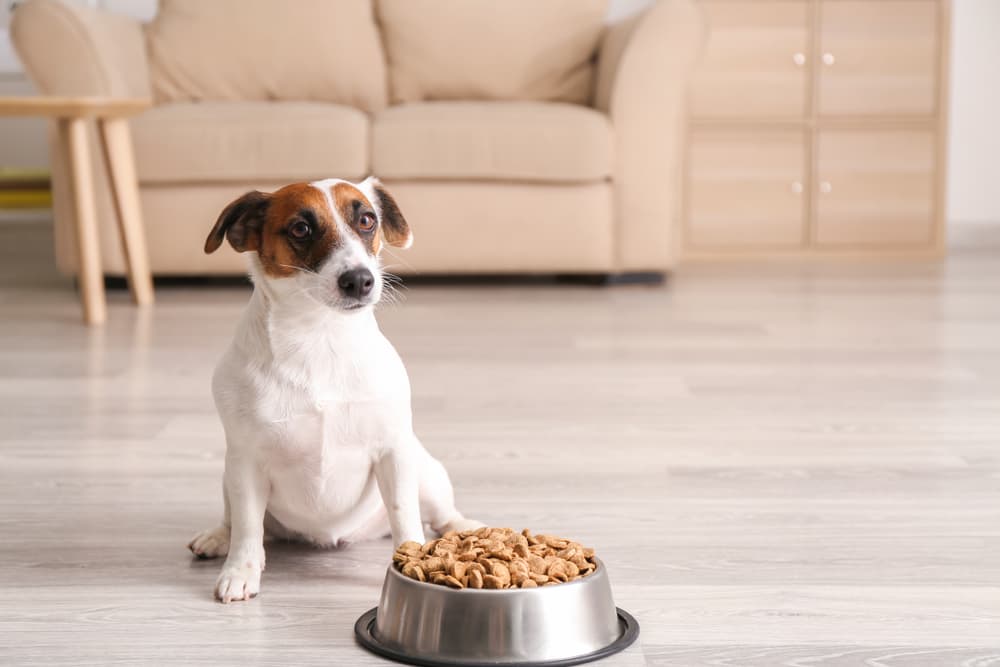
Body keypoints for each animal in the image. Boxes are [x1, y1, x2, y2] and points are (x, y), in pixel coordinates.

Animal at [190, 179, 480, 604]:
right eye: (301, 228)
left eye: (367, 220)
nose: (360, 279)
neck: (319, 335)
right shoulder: (245, 463)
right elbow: (247, 527)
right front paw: (240, 569)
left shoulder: (393, 453)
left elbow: (404, 513)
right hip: (229, 478)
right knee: (238, 521)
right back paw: (218, 537)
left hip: (425, 472)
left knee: (441, 513)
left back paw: (462, 526)